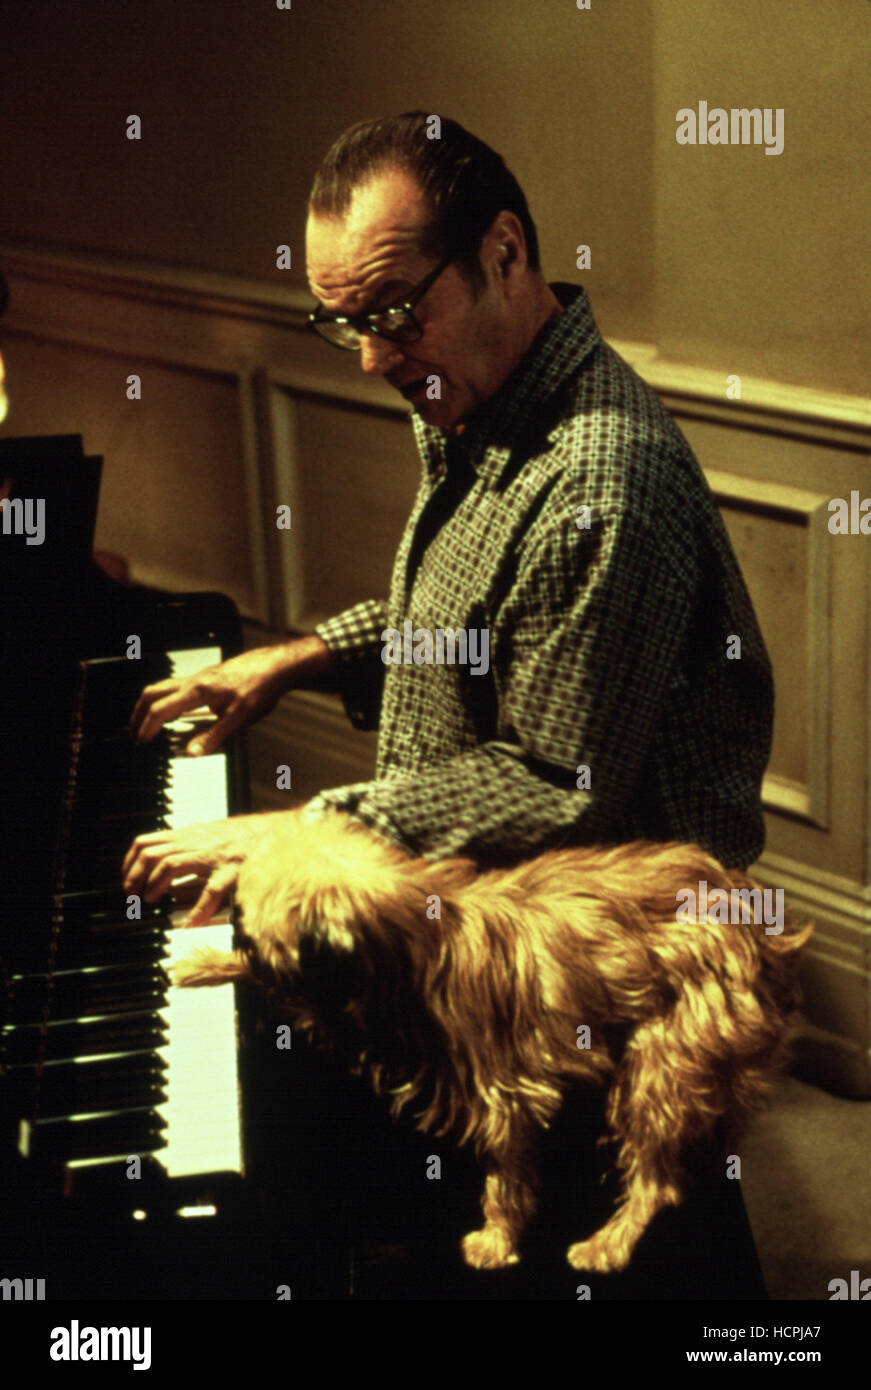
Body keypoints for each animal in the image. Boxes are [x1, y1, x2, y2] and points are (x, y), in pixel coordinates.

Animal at [173, 809, 811, 1274]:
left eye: (251, 920)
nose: (234, 922)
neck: (414, 937)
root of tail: (757, 927)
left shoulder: (505, 1090)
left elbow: (506, 1177)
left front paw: (497, 1239)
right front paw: (204, 963)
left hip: (663, 1060)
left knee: (659, 1180)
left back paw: (610, 1241)